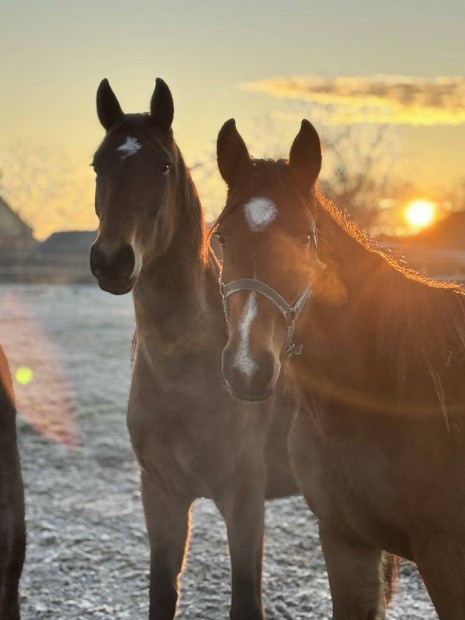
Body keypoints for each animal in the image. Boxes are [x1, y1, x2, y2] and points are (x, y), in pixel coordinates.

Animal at [89, 80, 298, 616]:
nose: (112, 261)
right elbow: (163, 591)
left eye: (163, 165)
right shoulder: (161, 493)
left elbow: (245, 599)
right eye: (98, 164)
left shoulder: (244, 498)